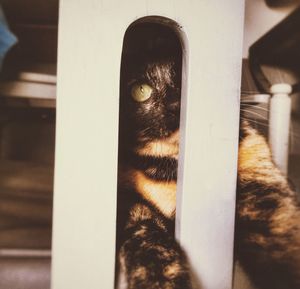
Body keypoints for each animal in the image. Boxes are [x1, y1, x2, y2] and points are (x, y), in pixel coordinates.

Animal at [116, 22, 300, 288]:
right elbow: (146, 237)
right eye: (140, 90)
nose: (177, 105)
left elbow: (280, 229)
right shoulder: (130, 201)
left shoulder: (260, 175)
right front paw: (160, 279)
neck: (173, 170)